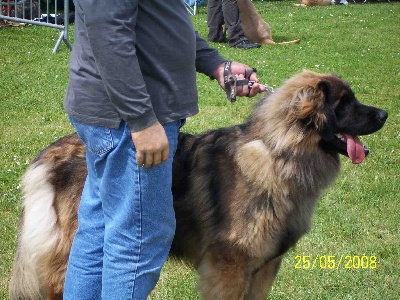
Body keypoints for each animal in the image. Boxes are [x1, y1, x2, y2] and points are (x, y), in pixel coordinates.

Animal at [10, 70, 388, 298]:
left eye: (353, 100)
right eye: (343, 104)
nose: (385, 114)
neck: (279, 153)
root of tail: (49, 155)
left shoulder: (265, 265)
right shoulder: (230, 264)